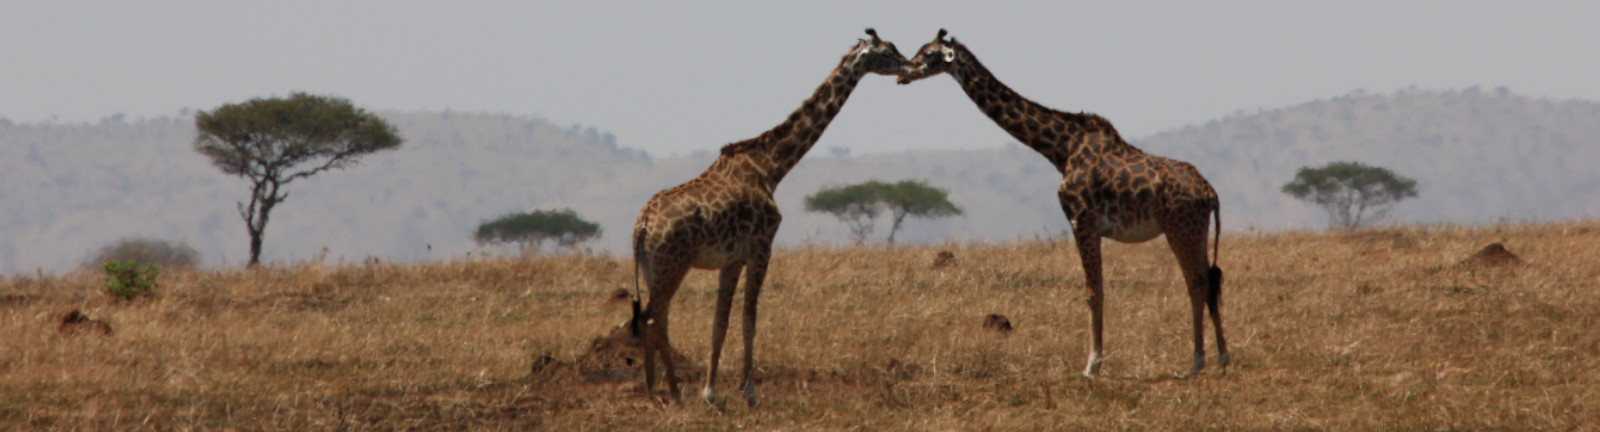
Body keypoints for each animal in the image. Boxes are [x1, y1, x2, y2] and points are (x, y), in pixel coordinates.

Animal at [627, 28, 915, 406]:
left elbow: (720, 323)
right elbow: (749, 319)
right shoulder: (762, 246)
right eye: (887, 52)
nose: (911, 67)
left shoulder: (732, 259)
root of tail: (642, 226)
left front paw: (711, 392)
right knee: (654, 317)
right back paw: (671, 392)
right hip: (673, 263)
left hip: (652, 267)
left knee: (653, 318)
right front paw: (749, 393)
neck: (770, 168)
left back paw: (657, 390)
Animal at [902, 30, 1222, 379]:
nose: (904, 72)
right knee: (1210, 279)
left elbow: (1093, 291)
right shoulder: (1088, 224)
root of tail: (1210, 192)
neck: (1061, 147)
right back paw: (1222, 357)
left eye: (928, 54)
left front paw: (1091, 366)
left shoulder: (1082, 220)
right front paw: (1094, 362)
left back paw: (1196, 362)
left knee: (1197, 282)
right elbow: (1097, 290)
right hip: (1195, 229)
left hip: (1180, 228)